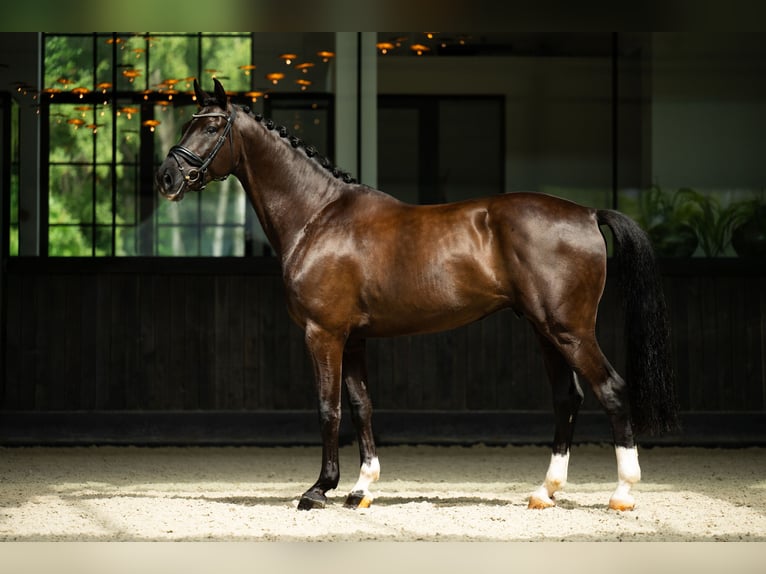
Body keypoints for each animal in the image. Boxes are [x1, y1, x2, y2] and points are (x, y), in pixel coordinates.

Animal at [156, 78, 678, 512]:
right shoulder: (354, 338)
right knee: (567, 399)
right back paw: (544, 492)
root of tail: (587, 213)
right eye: (188, 123)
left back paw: (622, 494)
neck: (318, 215)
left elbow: (329, 408)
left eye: (212, 126)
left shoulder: (323, 334)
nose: (167, 178)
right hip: (545, 332)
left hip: (569, 331)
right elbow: (362, 406)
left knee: (612, 390)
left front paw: (319, 490)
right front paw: (361, 489)